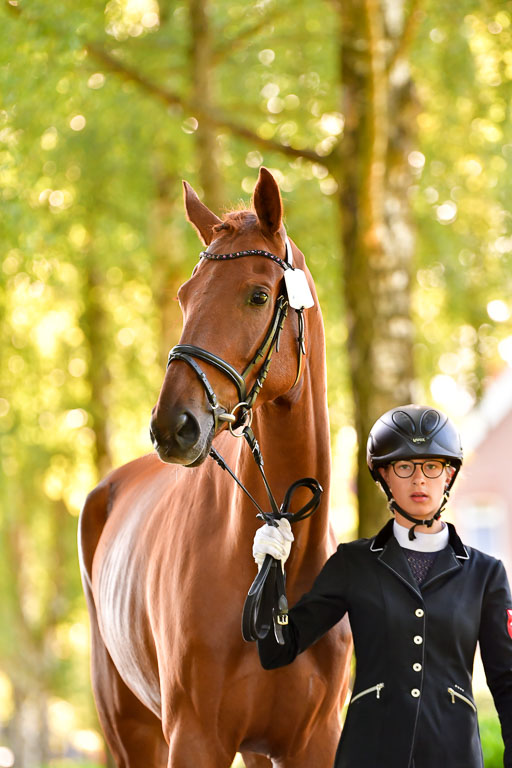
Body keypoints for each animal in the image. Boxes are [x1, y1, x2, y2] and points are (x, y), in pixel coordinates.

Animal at [78, 167, 352, 768]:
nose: (172, 425)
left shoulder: (314, 741)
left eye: (258, 294)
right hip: (129, 726)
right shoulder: (195, 736)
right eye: (185, 296)